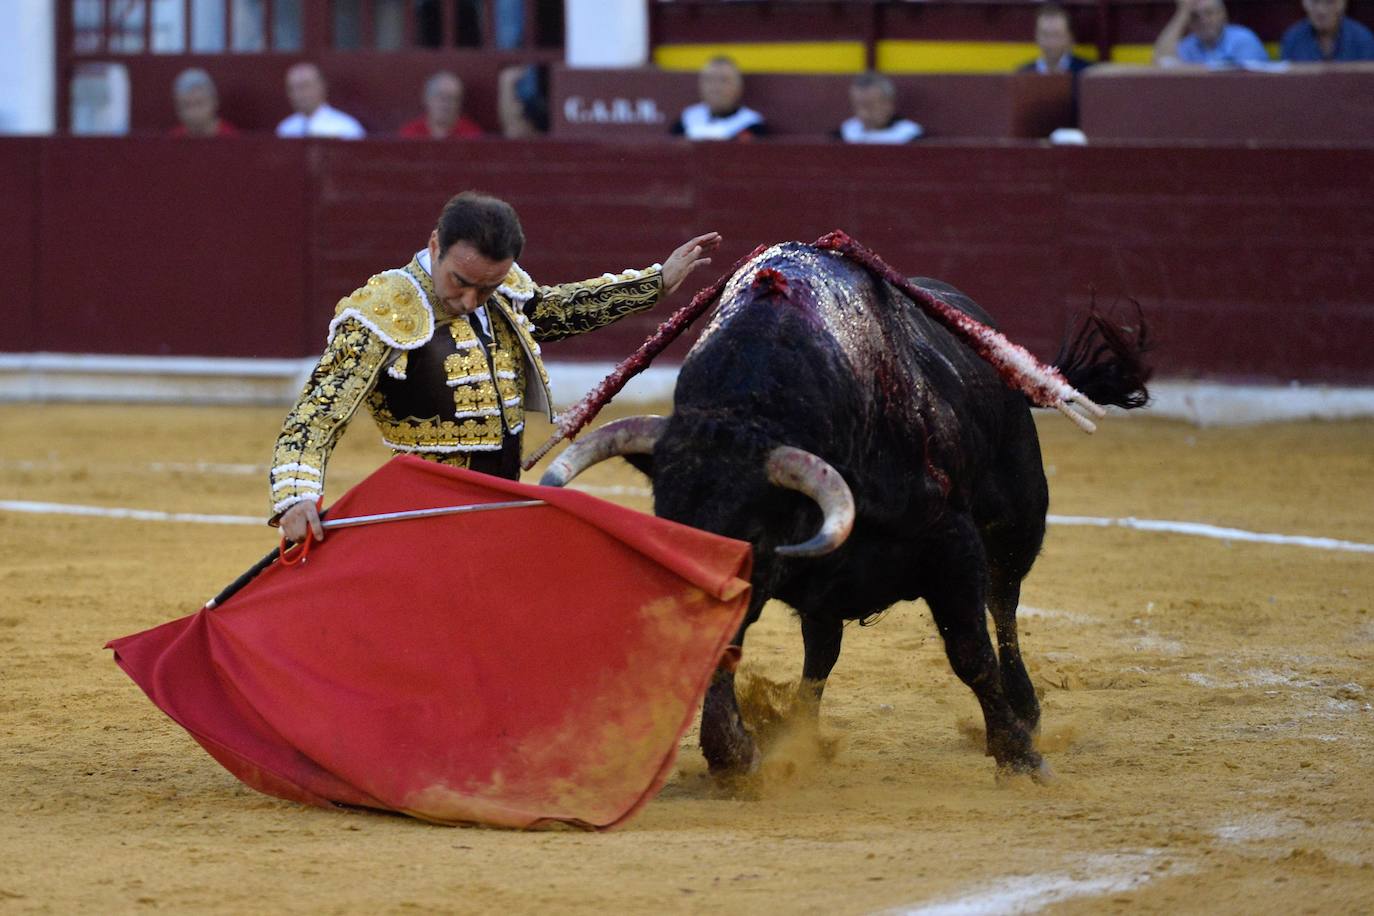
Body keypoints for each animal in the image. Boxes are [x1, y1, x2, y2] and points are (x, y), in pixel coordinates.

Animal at [535, 241, 1148, 780]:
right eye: (666, 525)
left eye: (750, 533)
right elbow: (735, 650)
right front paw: (734, 753)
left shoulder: (952, 542)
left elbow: (970, 651)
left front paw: (1019, 756)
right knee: (822, 653)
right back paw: (801, 735)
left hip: (1017, 521)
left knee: (1003, 605)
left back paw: (1025, 710)